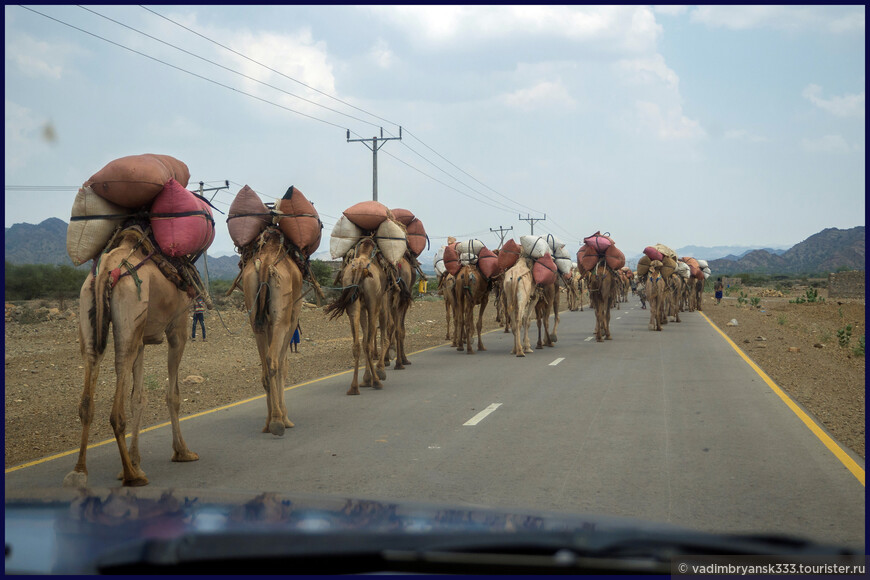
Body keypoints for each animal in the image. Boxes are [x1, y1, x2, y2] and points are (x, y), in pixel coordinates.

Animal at [65, 224, 201, 488]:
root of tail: (106, 270)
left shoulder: (142, 339)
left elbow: (138, 397)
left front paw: (136, 459)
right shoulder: (178, 327)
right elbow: (173, 395)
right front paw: (182, 451)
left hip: (88, 308)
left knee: (89, 381)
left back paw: (79, 472)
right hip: (130, 312)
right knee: (117, 405)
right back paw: (131, 475)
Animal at [240, 227, 304, 436]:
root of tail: (266, 264)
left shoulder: (266, 322)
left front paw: (268, 422)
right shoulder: (291, 318)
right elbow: (284, 365)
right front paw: (285, 418)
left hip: (254, 315)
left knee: (265, 365)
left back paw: (271, 422)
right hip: (281, 318)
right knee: (273, 360)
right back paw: (278, 421)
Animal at [326, 236, 390, 394]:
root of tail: (360, 267)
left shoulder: (361, 308)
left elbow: (364, 338)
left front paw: (367, 378)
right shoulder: (381, 302)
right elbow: (382, 336)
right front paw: (379, 371)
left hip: (353, 304)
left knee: (357, 344)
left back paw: (354, 387)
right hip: (373, 304)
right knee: (369, 342)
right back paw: (376, 382)